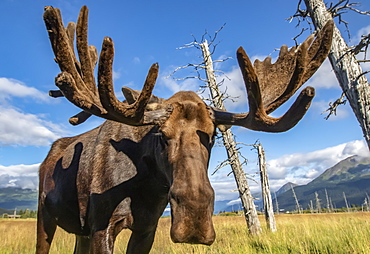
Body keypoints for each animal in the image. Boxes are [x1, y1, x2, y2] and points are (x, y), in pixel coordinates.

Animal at [36, 4, 334, 254]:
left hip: (80, 232)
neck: (146, 187)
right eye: (161, 135)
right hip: (45, 216)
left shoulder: (146, 228)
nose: (194, 220)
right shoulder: (101, 225)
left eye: (212, 136)